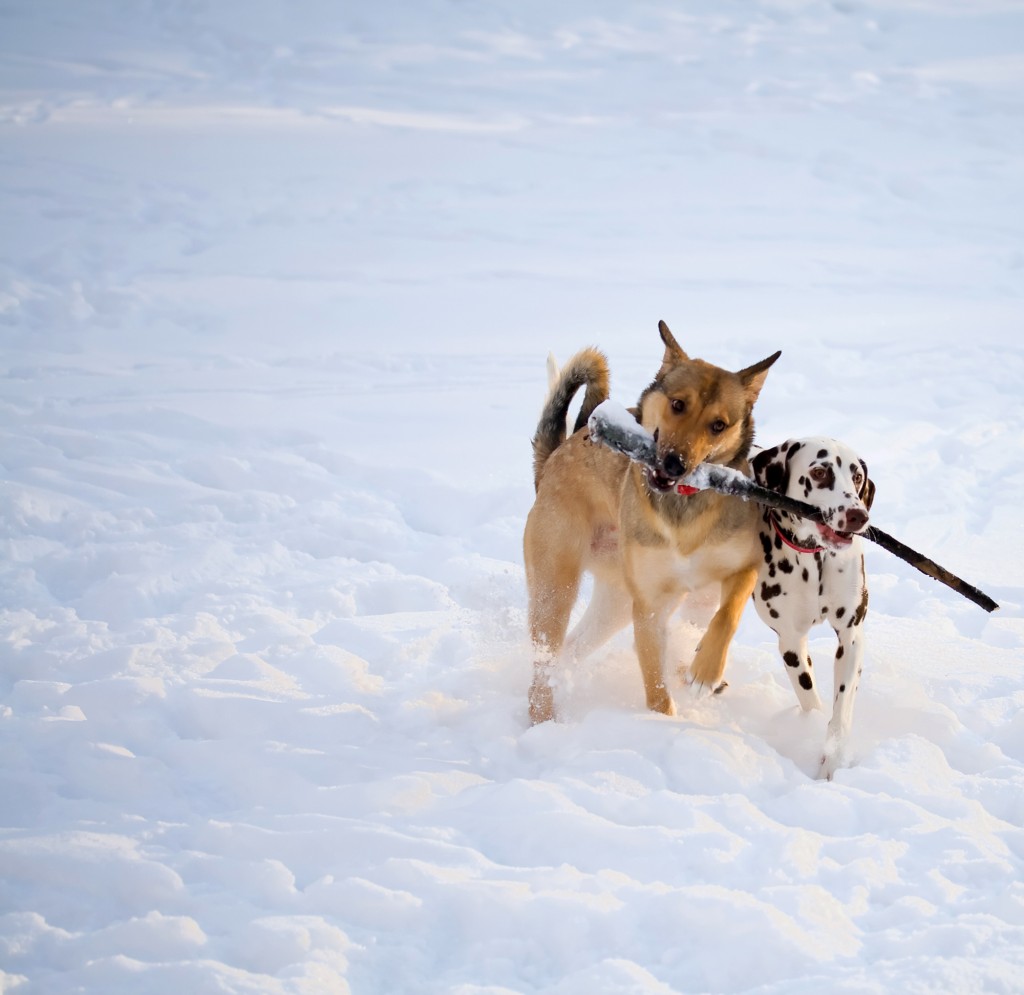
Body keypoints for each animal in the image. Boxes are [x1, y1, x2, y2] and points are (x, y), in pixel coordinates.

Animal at [523, 320, 781, 724]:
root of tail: (552, 459)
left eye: (718, 425)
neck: (684, 504)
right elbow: (655, 689)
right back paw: (543, 719)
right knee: (545, 657)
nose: (675, 464)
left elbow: (727, 615)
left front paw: (705, 672)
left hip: (619, 600)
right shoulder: (649, 606)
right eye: (677, 404)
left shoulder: (745, 566)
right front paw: (664, 723)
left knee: (574, 647)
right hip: (556, 586)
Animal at [750, 438, 875, 778]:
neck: (815, 558)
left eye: (856, 476)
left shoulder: (851, 636)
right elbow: (809, 697)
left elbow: (841, 709)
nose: (858, 515)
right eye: (819, 473)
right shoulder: (791, 642)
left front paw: (832, 763)